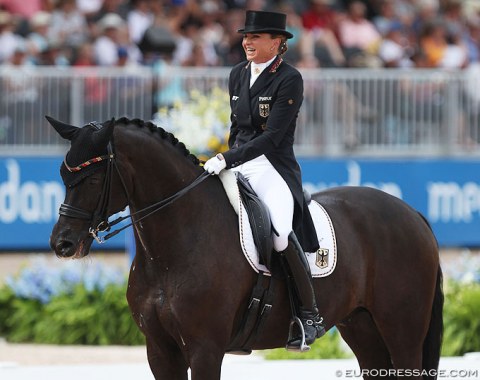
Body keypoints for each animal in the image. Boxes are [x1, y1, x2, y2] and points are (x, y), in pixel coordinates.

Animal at [47, 117, 442, 378]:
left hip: (403, 329)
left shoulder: (204, 348)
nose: (62, 243)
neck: (173, 248)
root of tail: (411, 213)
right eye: (64, 176)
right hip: (361, 325)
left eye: (93, 178)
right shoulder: (159, 350)